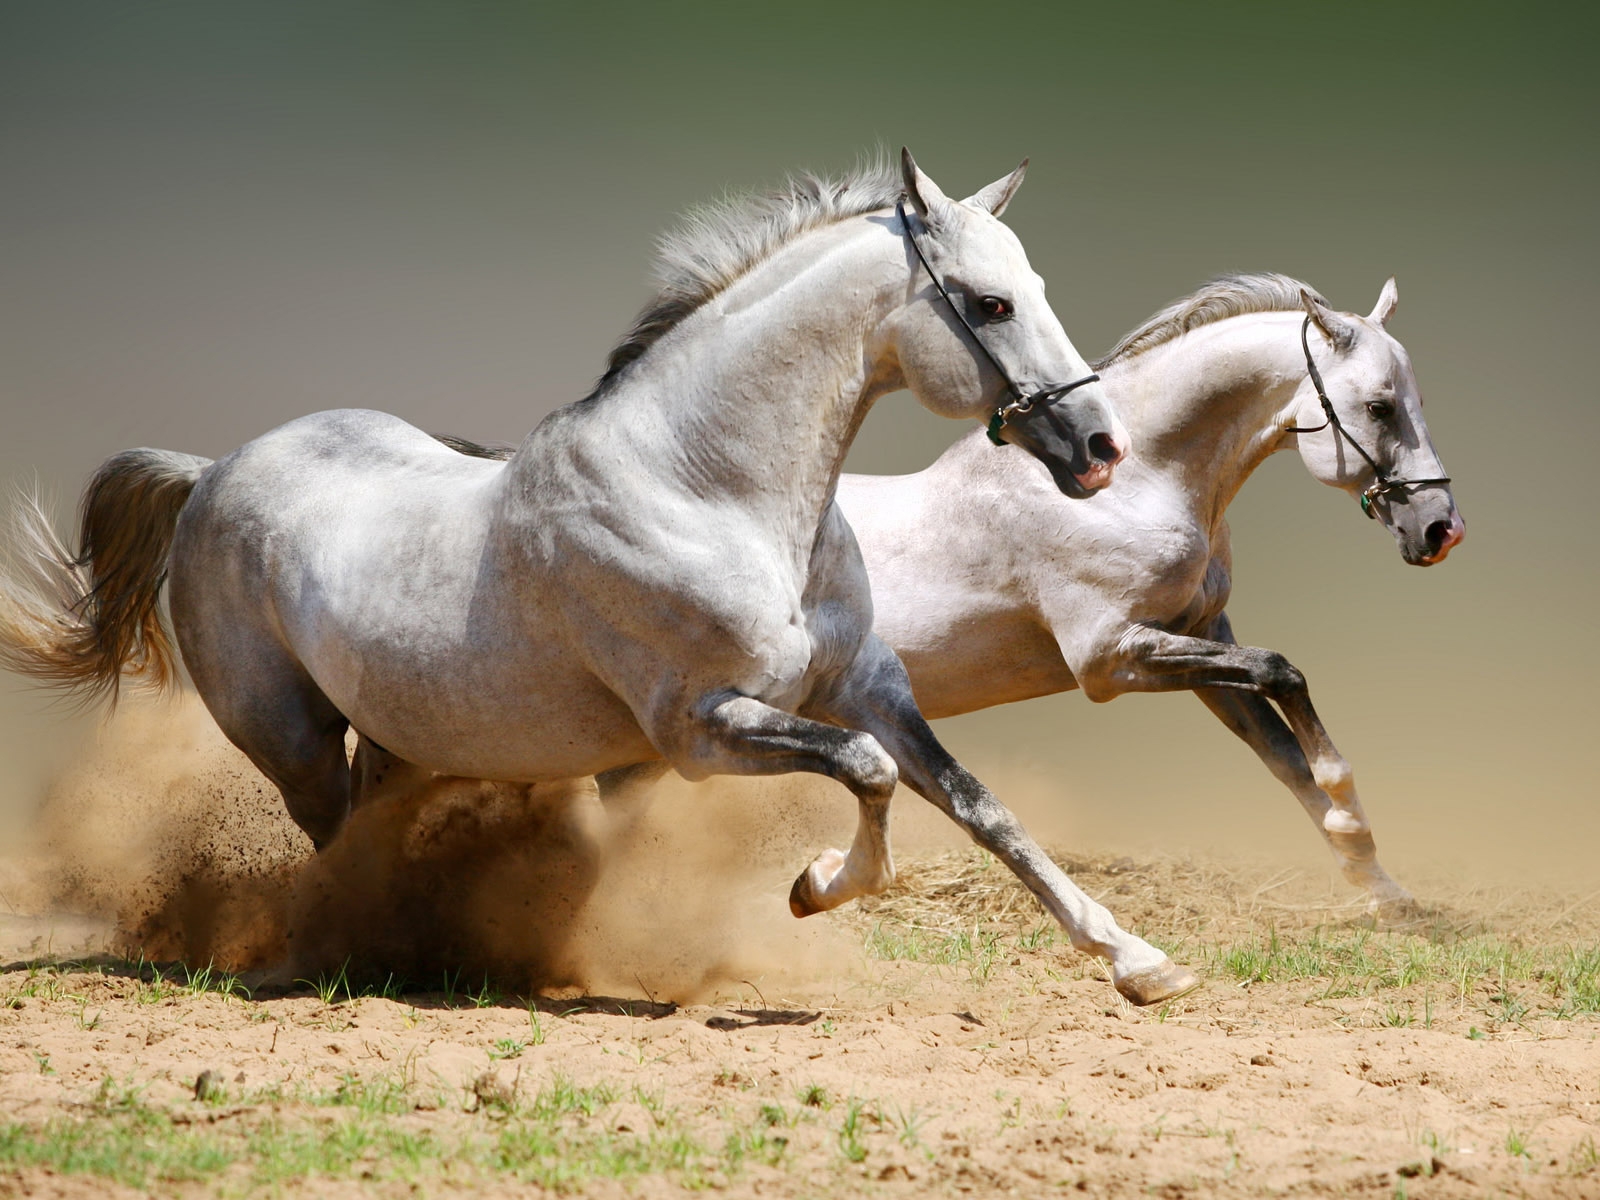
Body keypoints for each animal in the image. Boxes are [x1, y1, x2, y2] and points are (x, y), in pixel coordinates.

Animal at [0, 155, 1203, 1011]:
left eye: (1034, 287)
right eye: (990, 304)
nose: (1099, 448)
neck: (708, 488)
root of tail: (212, 472)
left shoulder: (867, 689)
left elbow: (983, 809)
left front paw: (1139, 962)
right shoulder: (702, 727)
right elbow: (863, 778)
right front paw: (815, 887)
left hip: (398, 734)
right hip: (289, 738)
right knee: (332, 841)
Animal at [844, 276, 1465, 915]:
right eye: (1379, 407)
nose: (1442, 529)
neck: (1133, 486)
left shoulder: (1200, 638)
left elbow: (1285, 756)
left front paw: (1383, 888)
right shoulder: (1110, 658)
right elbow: (1282, 673)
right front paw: (1349, 815)